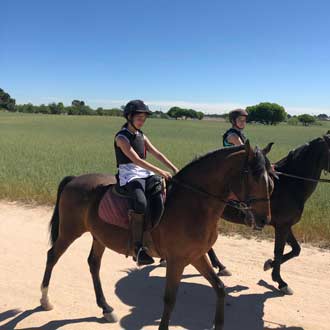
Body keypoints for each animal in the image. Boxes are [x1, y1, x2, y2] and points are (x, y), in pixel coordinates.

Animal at [40, 140, 274, 330]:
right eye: (254, 176)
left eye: (271, 179)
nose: (264, 219)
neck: (193, 203)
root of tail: (75, 179)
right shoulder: (177, 261)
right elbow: (170, 300)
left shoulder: (197, 256)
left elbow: (219, 288)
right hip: (70, 231)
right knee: (52, 256)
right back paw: (45, 300)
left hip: (99, 236)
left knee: (93, 264)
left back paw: (106, 308)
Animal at [209, 133, 330, 296]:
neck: (290, 185)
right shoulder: (282, 226)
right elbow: (279, 251)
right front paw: (280, 281)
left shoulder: (286, 225)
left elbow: (295, 250)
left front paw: (269, 265)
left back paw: (220, 266)